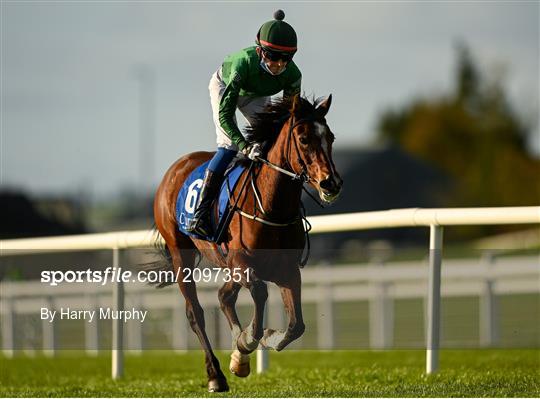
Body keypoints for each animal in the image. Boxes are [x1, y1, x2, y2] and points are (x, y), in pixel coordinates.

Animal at [154, 94, 344, 394]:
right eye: (303, 139)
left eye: (331, 137)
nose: (331, 183)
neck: (271, 206)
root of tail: (177, 167)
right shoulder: (243, 263)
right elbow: (259, 293)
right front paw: (248, 341)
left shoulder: (287, 269)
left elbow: (297, 325)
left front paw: (259, 342)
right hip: (180, 253)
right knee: (195, 313)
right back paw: (216, 376)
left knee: (224, 296)